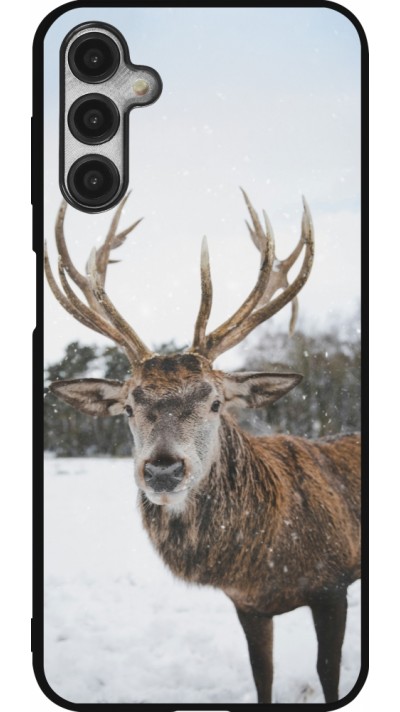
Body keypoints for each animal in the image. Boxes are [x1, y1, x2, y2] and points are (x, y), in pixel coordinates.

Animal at [44, 190, 361, 704]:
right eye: (128, 407)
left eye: (215, 402)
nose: (163, 470)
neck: (266, 560)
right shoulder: (248, 605)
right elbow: (262, 675)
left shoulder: (333, 583)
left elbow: (328, 673)